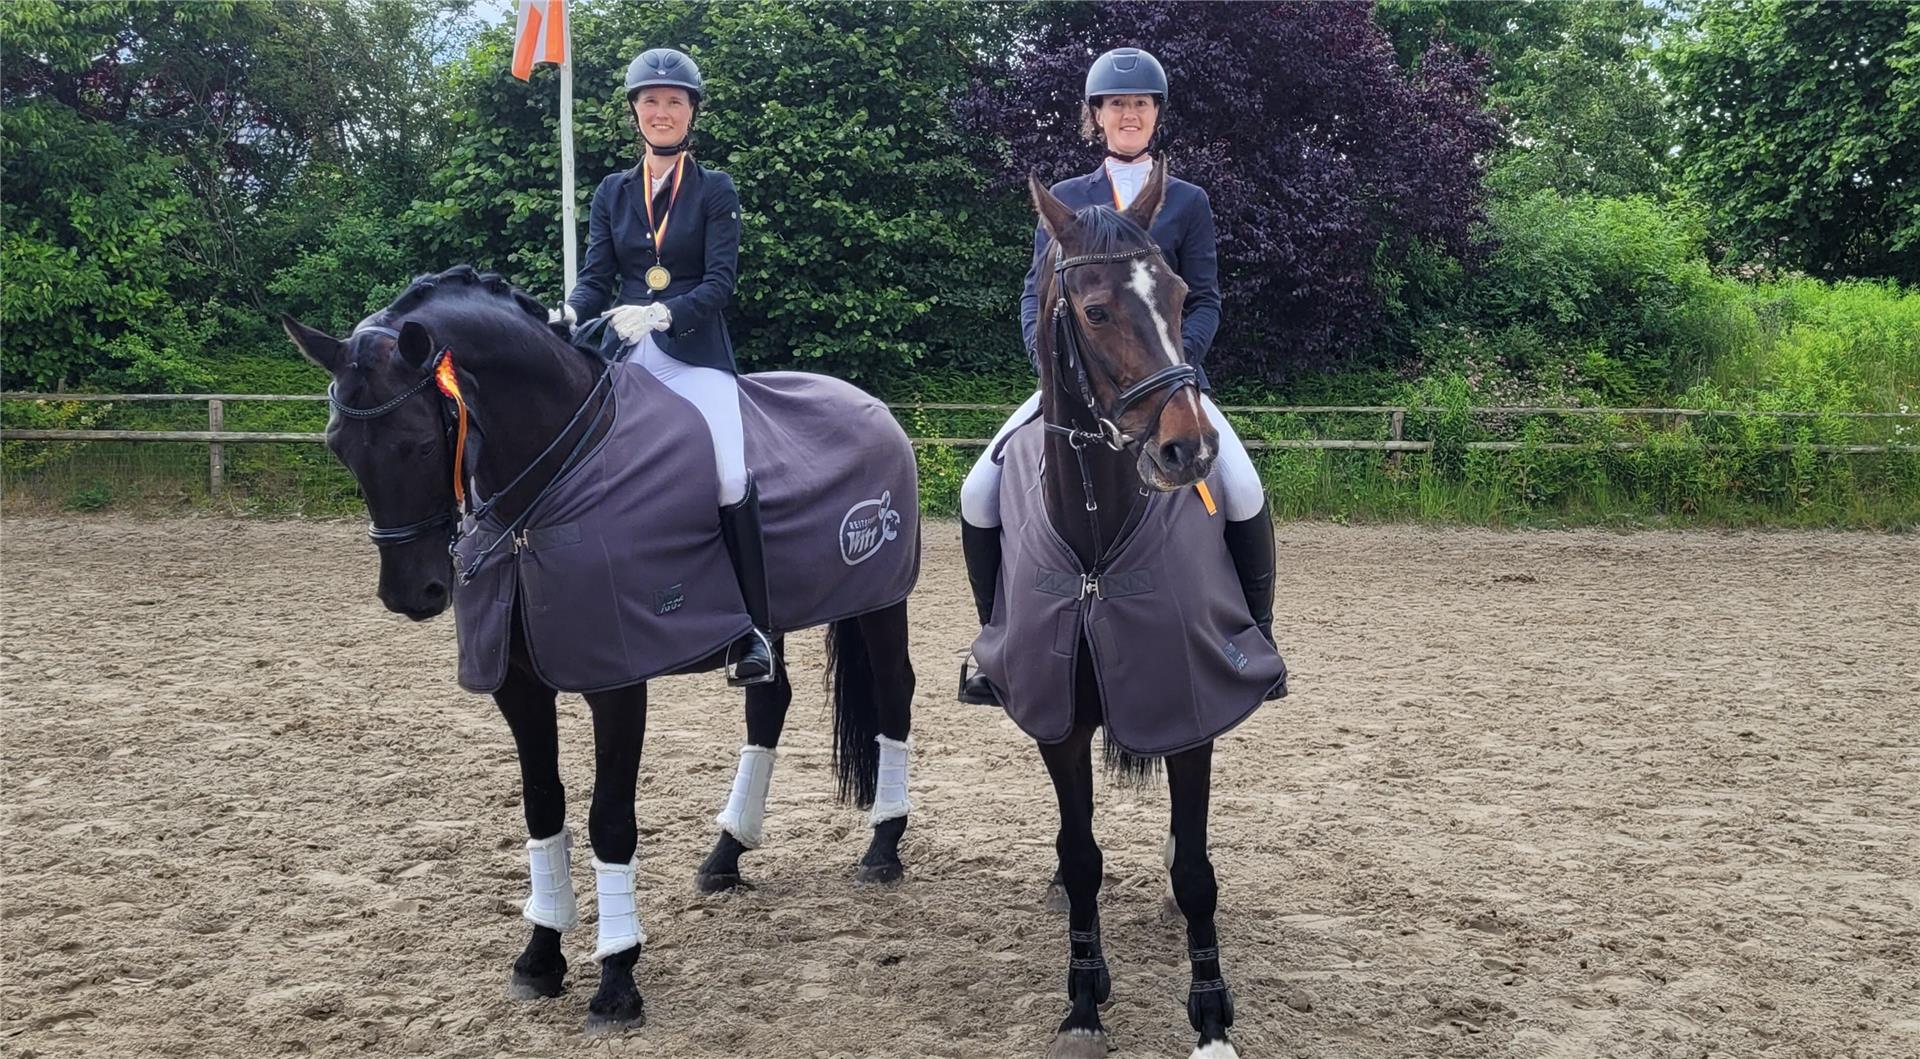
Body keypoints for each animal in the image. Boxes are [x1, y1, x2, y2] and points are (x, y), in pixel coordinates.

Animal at [280, 266, 917, 1035]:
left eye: (419, 444)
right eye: (338, 445)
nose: (412, 592)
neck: (548, 491)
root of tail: (867, 404)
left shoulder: (617, 680)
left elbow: (608, 820)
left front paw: (616, 979)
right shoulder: (518, 687)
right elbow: (542, 807)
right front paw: (539, 955)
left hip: (882, 600)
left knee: (895, 695)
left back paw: (883, 846)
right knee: (770, 701)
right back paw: (727, 854)